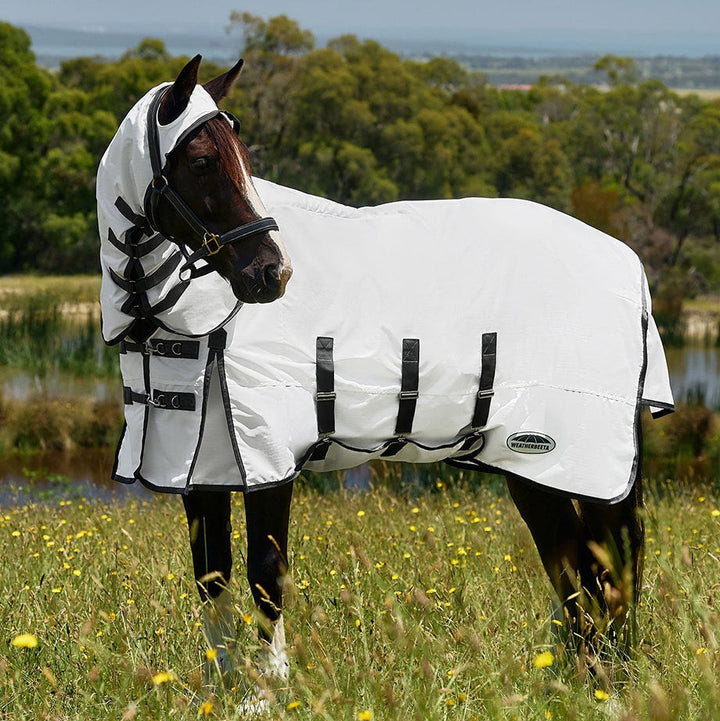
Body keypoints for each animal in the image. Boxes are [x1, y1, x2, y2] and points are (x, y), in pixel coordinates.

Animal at [97, 55, 674, 705]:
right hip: (533, 469)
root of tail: (630, 266)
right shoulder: (201, 469)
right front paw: (226, 686)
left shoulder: (269, 459)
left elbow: (265, 572)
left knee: (600, 565)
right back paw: (586, 678)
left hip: (572, 463)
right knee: (578, 564)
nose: (273, 274)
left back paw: (604, 681)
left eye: (242, 157)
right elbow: (211, 576)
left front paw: (270, 689)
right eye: (200, 161)